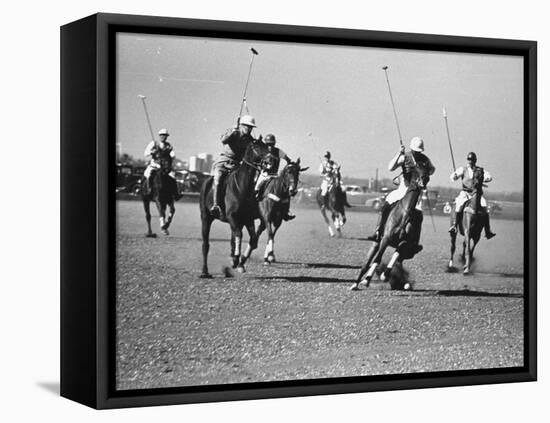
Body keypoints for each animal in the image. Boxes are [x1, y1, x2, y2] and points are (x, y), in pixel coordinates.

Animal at [201, 140, 270, 278]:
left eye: (266, 145)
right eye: (257, 146)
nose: (271, 159)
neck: (242, 187)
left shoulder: (247, 219)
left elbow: (253, 240)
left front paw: (240, 263)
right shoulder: (232, 217)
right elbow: (239, 235)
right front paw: (236, 259)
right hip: (206, 218)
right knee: (206, 244)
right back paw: (205, 271)